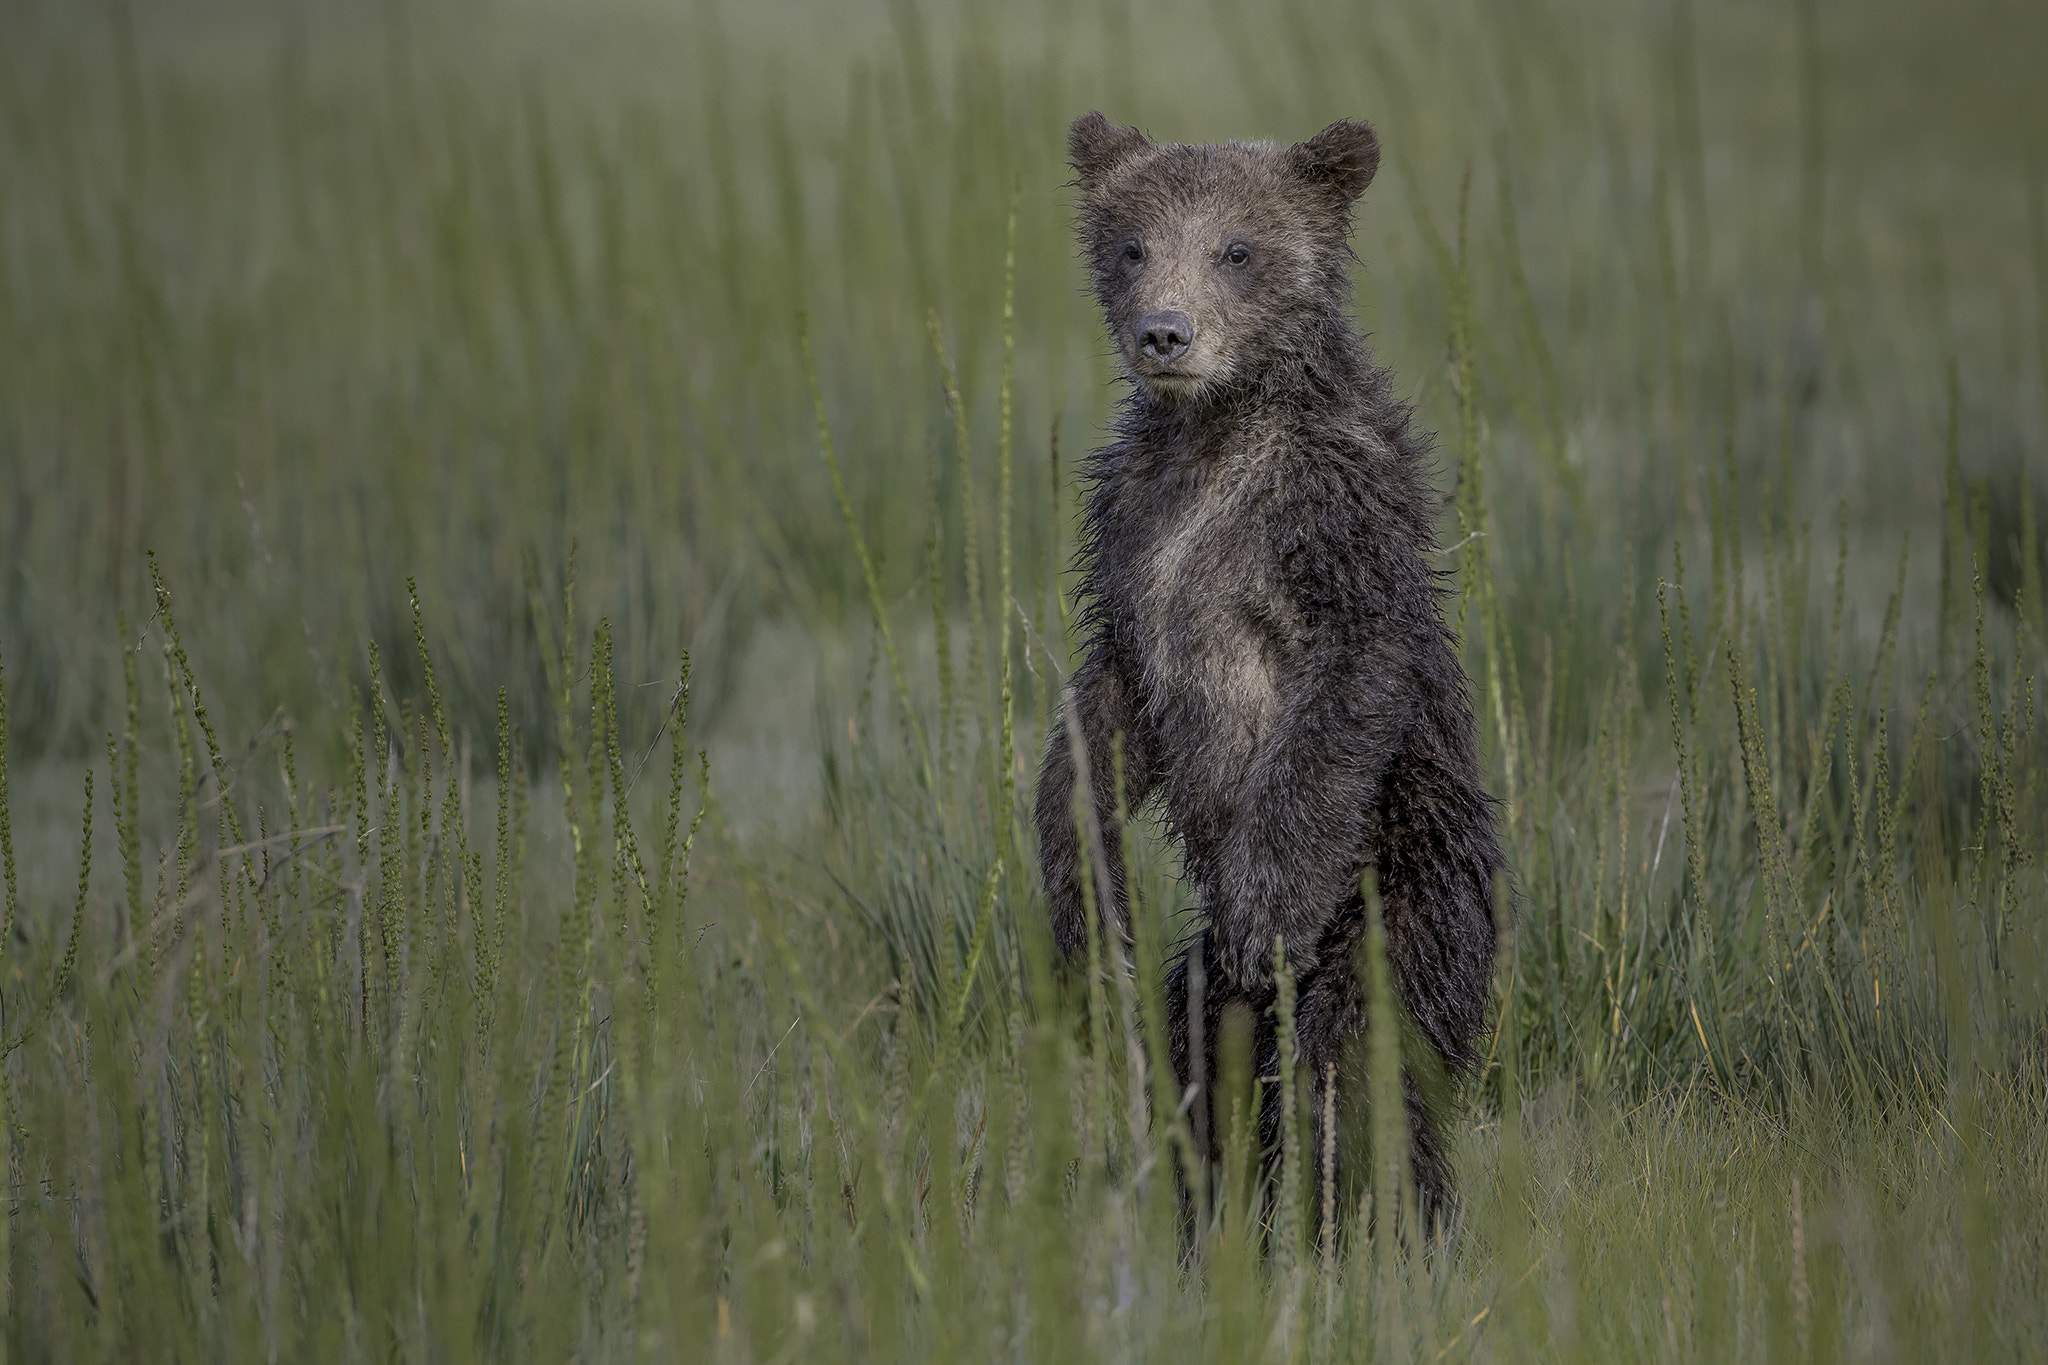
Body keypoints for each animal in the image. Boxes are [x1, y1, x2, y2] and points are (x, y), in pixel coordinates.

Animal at [1040, 114, 1507, 1227]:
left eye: (1236, 249)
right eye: (1133, 245)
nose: (1165, 334)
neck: (1216, 428)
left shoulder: (1327, 516)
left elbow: (1347, 683)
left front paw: (1267, 908)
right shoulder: (1131, 531)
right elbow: (1102, 714)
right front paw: (1087, 906)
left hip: (1405, 876)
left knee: (1365, 1059)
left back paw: (1379, 1223)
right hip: (1211, 989)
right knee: (1203, 1056)